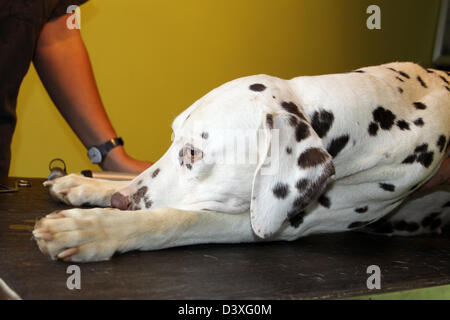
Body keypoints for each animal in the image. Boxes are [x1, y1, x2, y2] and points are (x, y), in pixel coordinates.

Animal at [33, 62, 448, 262]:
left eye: (193, 153)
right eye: (173, 139)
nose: (120, 204)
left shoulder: (281, 223)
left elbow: (178, 219)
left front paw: (91, 229)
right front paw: (89, 185)